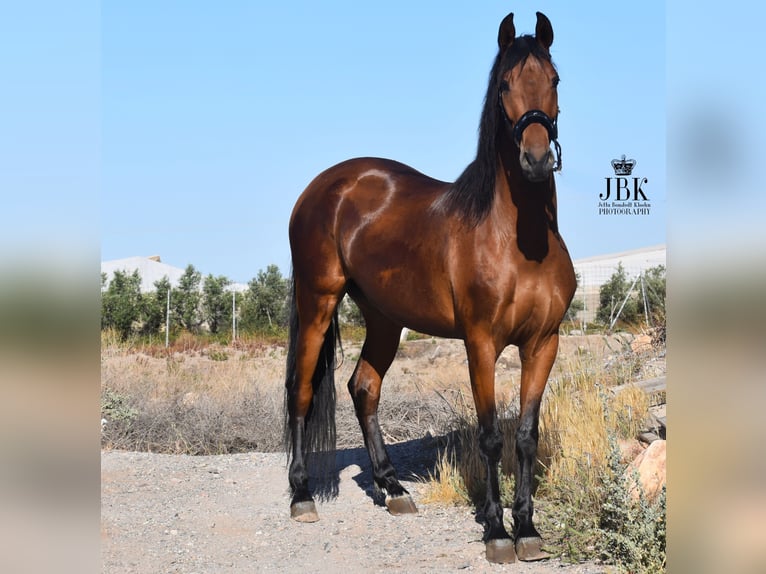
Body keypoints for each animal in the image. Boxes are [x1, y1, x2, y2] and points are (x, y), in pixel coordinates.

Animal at [284, 11, 572, 564]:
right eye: (504, 84)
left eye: (554, 80)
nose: (535, 160)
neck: (518, 241)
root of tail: (322, 188)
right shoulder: (480, 344)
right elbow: (490, 436)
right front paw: (496, 532)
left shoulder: (543, 344)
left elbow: (525, 435)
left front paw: (527, 529)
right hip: (317, 302)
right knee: (302, 391)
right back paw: (302, 495)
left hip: (384, 318)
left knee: (363, 387)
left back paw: (393, 489)